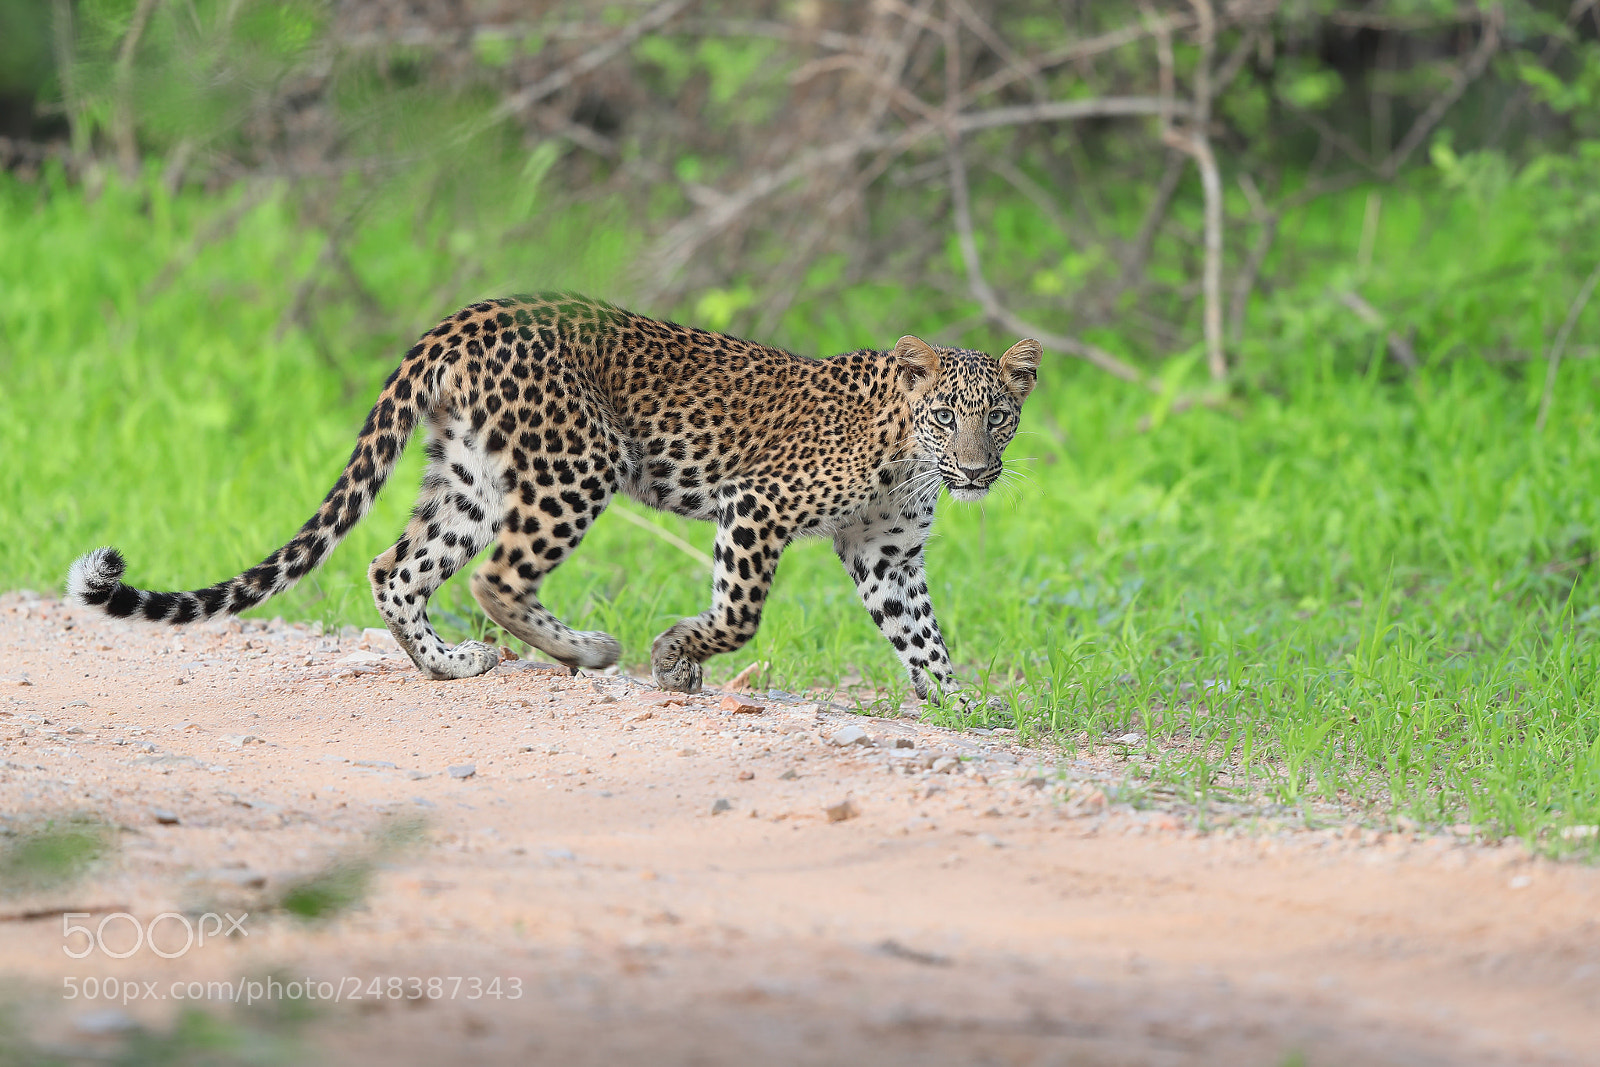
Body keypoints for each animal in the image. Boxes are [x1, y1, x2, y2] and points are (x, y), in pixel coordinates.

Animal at [67, 293, 1039, 701]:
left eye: (998, 417)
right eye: (946, 415)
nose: (976, 471)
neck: (908, 456)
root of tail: (465, 318)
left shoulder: (886, 555)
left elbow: (923, 636)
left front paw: (961, 706)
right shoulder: (757, 509)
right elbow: (738, 618)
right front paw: (676, 658)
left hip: (469, 474)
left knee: (394, 565)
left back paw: (450, 665)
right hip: (581, 460)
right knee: (494, 576)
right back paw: (588, 650)